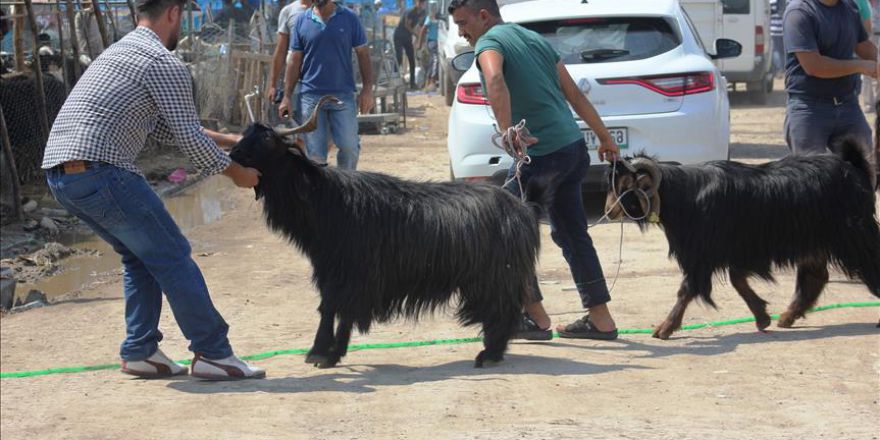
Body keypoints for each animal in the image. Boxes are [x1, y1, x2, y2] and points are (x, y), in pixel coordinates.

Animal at [230, 97, 540, 368]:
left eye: (267, 140)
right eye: (245, 134)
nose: (233, 154)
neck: (329, 200)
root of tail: (521, 209)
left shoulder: (349, 272)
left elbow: (331, 307)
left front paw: (320, 353)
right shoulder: (342, 273)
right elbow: (340, 310)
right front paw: (333, 352)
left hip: (496, 276)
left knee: (503, 310)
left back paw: (489, 354)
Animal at [604, 139, 880, 338]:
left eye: (625, 185)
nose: (609, 211)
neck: (686, 195)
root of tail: (854, 168)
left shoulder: (702, 255)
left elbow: (687, 290)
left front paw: (664, 328)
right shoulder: (735, 250)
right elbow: (737, 280)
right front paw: (762, 317)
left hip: (855, 237)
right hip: (815, 241)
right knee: (815, 277)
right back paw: (787, 316)